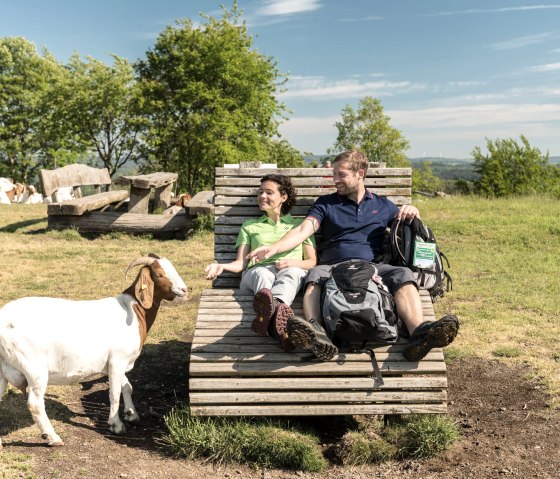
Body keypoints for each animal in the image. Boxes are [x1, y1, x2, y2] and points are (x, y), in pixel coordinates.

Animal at [0, 256, 188, 448]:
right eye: (159, 274)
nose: (185, 290)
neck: (134, 310)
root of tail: (4, 320)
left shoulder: (116, 363)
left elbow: (127, 386)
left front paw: (132, 414)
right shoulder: (117, 361)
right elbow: (114, 394)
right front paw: (116, 425)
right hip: (34, 367)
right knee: (35, 403)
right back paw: (53, 437)